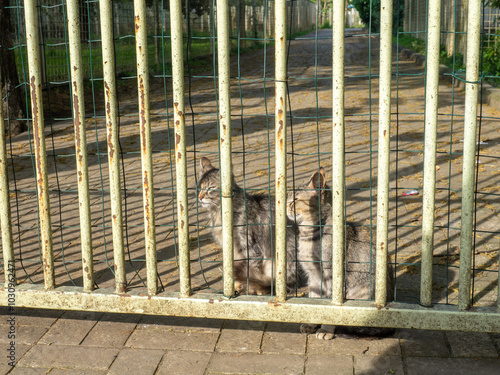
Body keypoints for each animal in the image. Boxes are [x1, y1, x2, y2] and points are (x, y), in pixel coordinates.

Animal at [197, 157, 300, 296]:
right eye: (199, 187)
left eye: (211, 188)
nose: (200, 197)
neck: (218, 213)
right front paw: (233, 288)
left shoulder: (251, 249)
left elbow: (251, 273)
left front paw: (248, 289)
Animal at [288, 170, 392, 340]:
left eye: (295, 200)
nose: (284, 205)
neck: (308, 236)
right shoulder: (313, 277)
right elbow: (314, 300)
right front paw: (311, 323)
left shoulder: (332, 277)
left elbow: (332, 309)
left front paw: (326, 329)